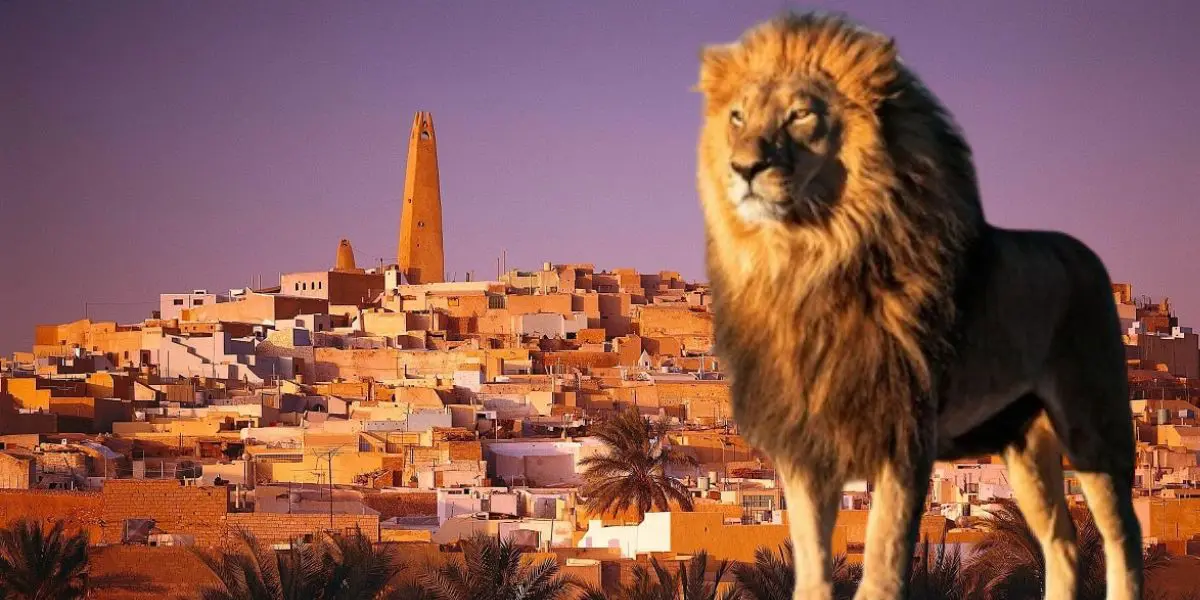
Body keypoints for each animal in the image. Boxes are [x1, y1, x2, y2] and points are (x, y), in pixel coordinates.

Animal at [695, 12, 1142, 600]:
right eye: (737, 117)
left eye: (800, 114)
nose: (744, 167)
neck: (808, 261)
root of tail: (1086, 252)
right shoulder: (804, 443)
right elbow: (812, 567)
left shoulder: (903, 432)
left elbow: (882, 560)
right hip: (1023, 444)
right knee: (1063, 541)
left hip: (1093, 425)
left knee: (1123, 534)